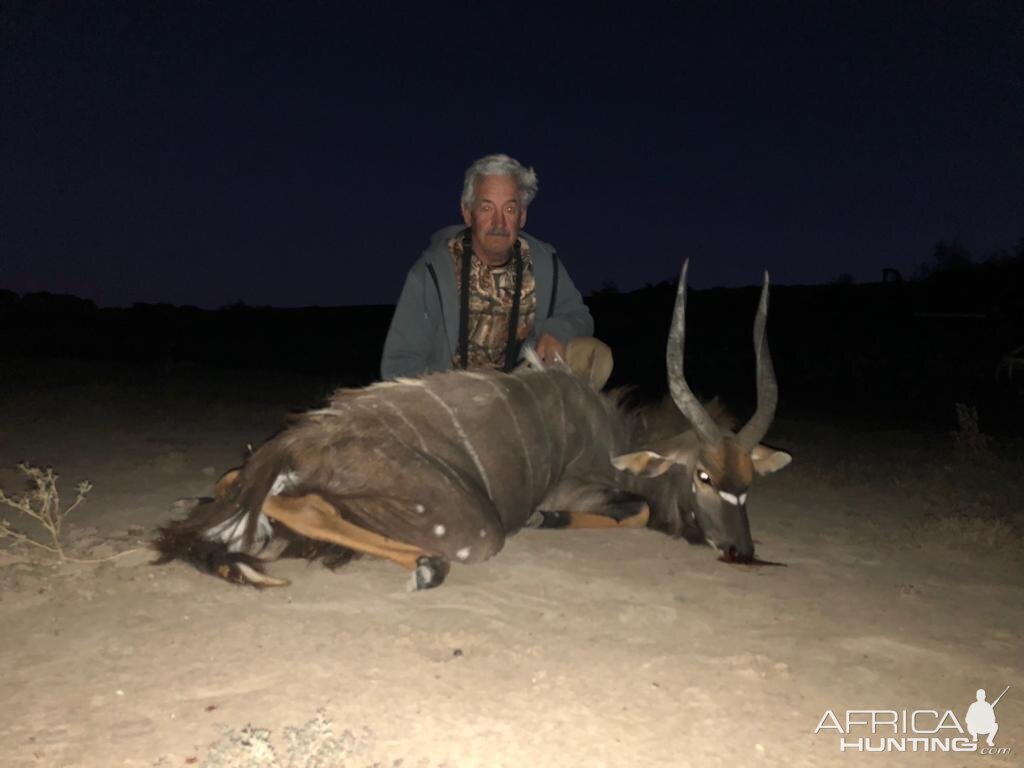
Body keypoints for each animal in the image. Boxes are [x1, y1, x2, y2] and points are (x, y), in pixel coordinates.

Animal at [151, 260, 790, 589]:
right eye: (704, 477)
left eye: (751, 485)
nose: (742, 550)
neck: (607, 434)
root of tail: (295, 443)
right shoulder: (575, 486)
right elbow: (631, 511)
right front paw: (546, 519)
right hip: (466, 525)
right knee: (315, 509)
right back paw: (427, 566)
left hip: (254, 484)